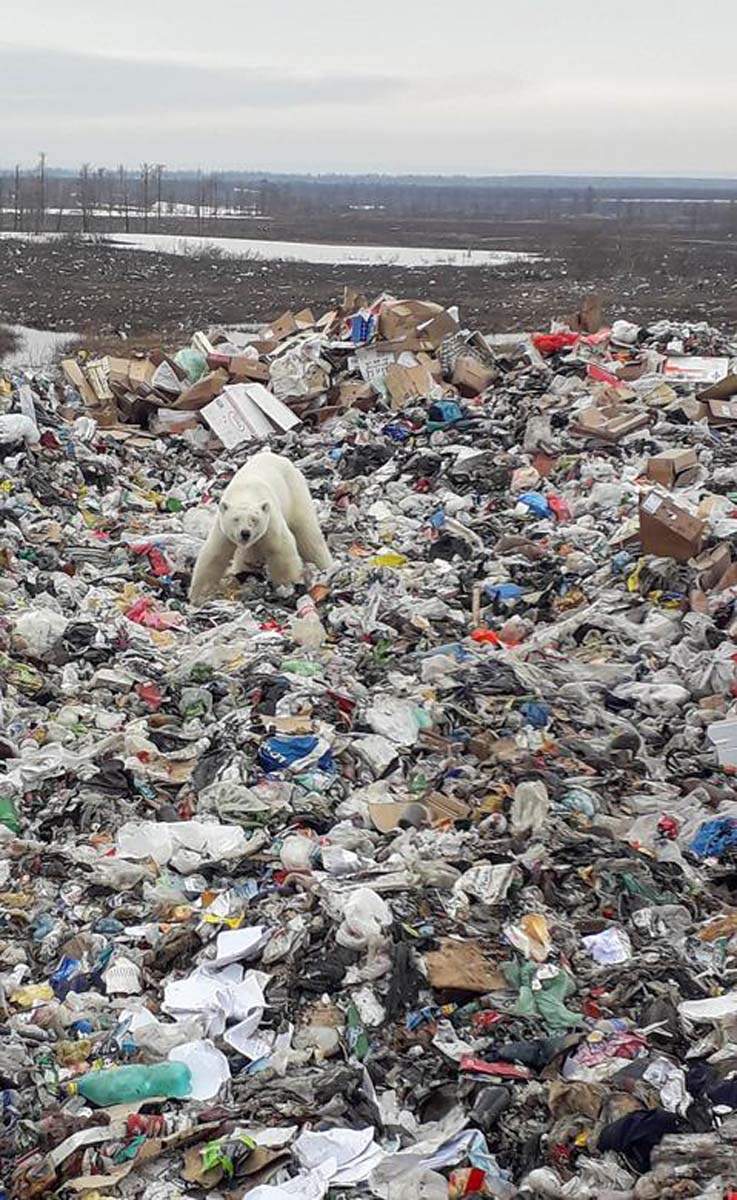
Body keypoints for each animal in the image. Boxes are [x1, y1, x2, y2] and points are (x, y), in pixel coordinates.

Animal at [189, 451, 332, 605]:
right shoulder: (222, 528)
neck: (246, 492)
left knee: (307, 534)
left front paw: (287, 586)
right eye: (235, 519)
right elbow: (214, 554)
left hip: (295, 492)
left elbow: (281, 548)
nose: (245, 533)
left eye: (254, 519)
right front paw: (198, 595)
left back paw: (325, 567)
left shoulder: (270, 520)